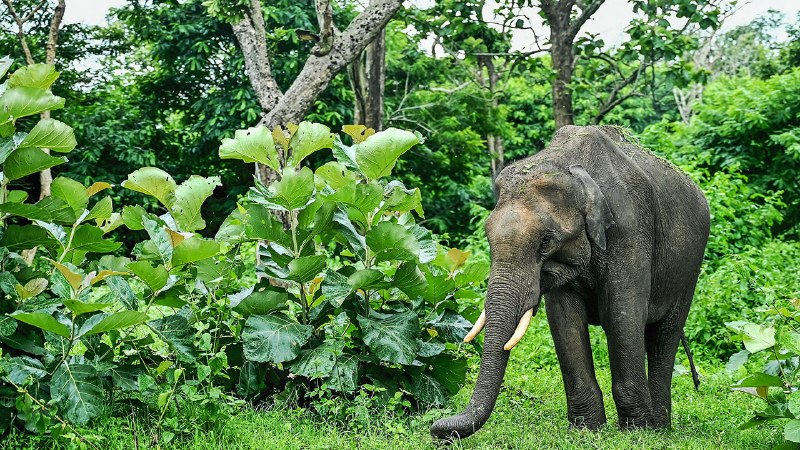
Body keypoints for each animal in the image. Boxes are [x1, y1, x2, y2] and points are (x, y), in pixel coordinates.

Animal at [430, 125, 710, 440]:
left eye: (545, 242)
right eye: (487, 237)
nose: (438, 429)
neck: (570, 167)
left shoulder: (630, 228)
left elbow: (622, 315)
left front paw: (637, 432)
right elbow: (564, 320)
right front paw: (587, 430)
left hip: (690, 268)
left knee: (665, 335)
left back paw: (659, 427)